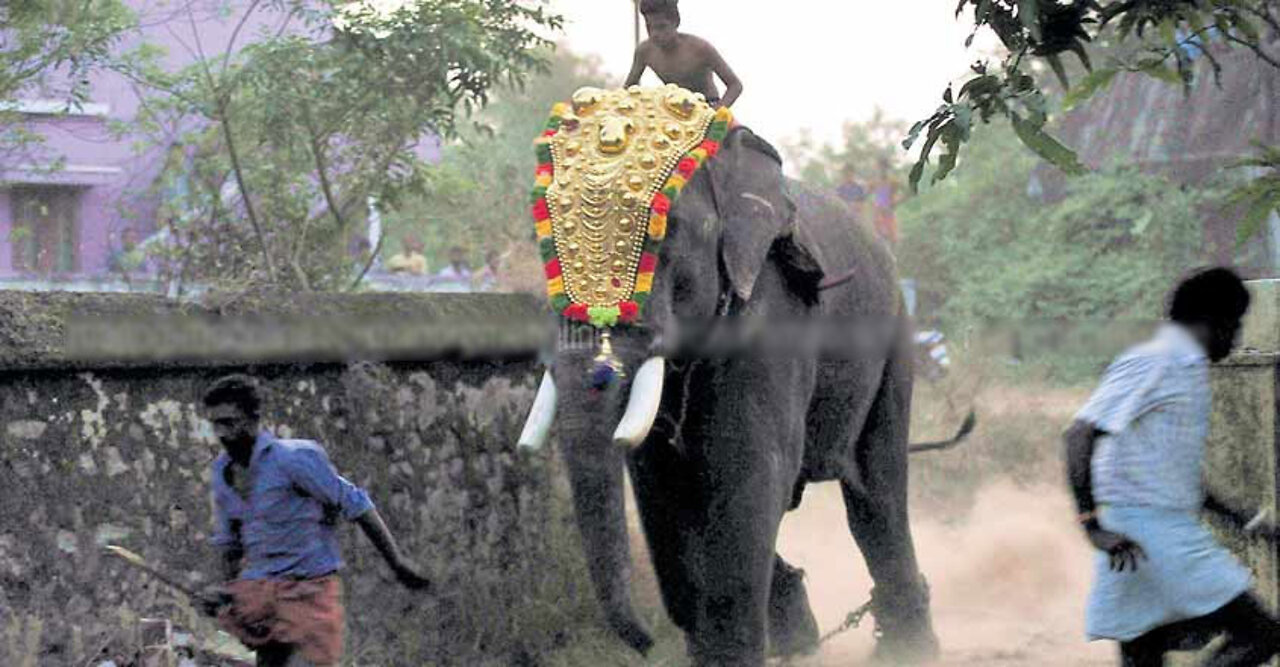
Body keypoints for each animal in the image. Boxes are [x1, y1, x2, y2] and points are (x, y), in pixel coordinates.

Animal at [514, 85, 962, 660]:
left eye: (665, 234)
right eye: (543, 245)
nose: (644, 644)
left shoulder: (774, 315)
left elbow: (750, 472)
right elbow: (662, 492)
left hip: (894, 338)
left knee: (876, 493)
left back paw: (906, 650)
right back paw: (802, 639)